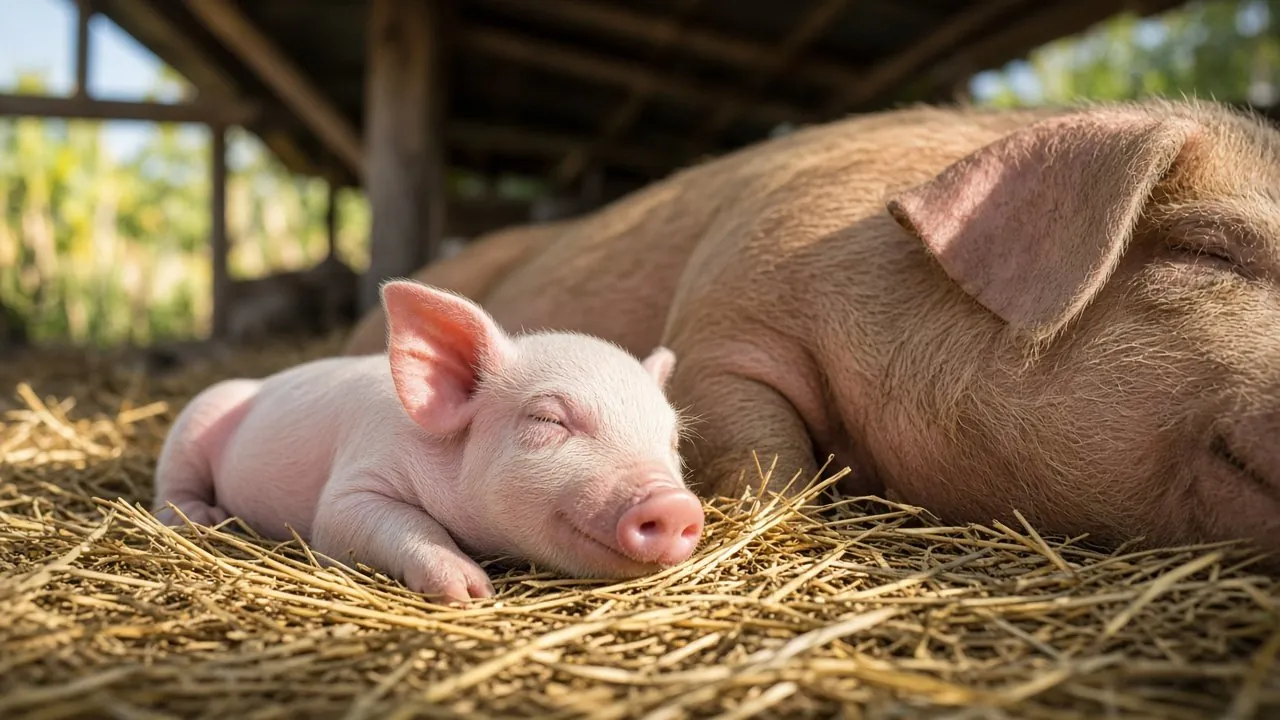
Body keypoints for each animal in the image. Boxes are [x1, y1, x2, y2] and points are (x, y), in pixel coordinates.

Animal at [152, 279, 703, 603]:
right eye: (548, 420)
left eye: (673, 440)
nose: (675, 505)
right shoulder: (352, 485)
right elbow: (377, 520)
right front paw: (470, 591)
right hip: (197, 416)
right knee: (170, 487)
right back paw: (200, 517)